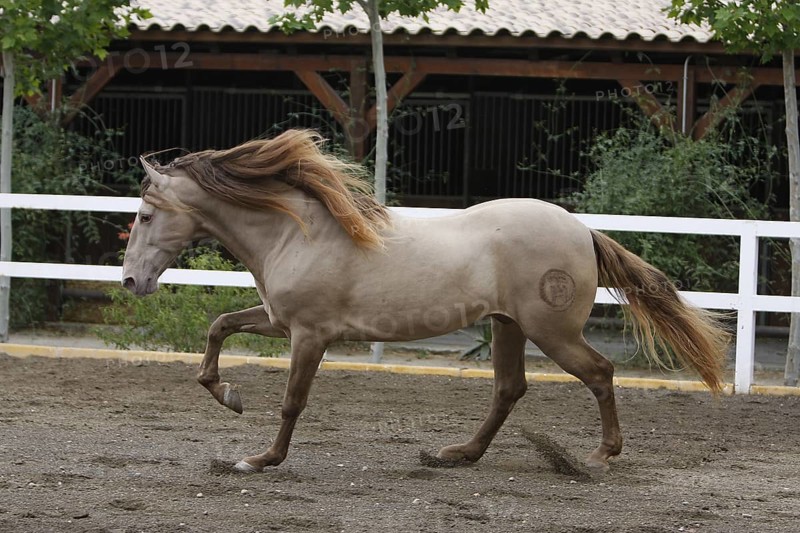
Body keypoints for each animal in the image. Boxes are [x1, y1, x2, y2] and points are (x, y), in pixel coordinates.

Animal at [121, 129, 730, 473]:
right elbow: (220, 325)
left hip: (551, 331)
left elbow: (293, 401)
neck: (295, 233)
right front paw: (229, 396)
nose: (130, 282)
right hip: (507, 326)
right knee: (510, 389)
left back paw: (600, 455)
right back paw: (455, 454)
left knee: (600, 373)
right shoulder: (279, 322)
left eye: (146, 215)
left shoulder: (310, 335)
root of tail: (582, 231)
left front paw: (259, 459)